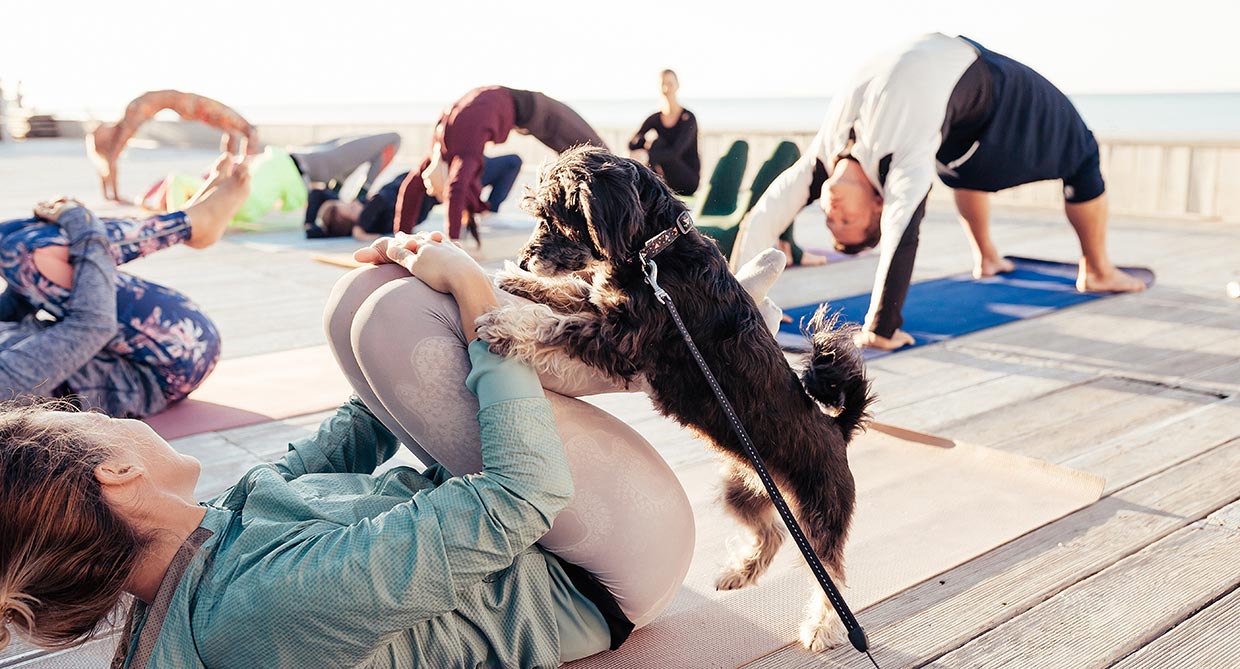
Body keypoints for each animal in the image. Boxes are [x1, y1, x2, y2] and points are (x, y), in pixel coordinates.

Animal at [473, 144, 872, 649]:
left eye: (553, 216)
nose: (525, 260)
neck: (655, 250)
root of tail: (837, 429)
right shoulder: (602, 305)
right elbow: (572, 290)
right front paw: (515, 282)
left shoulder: (619, 340)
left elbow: (553, 325)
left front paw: (505, 324)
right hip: (741, 491)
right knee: (772, 534)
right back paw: (738, 573)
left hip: (819, 518)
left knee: (831, 575)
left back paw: (819, 628)